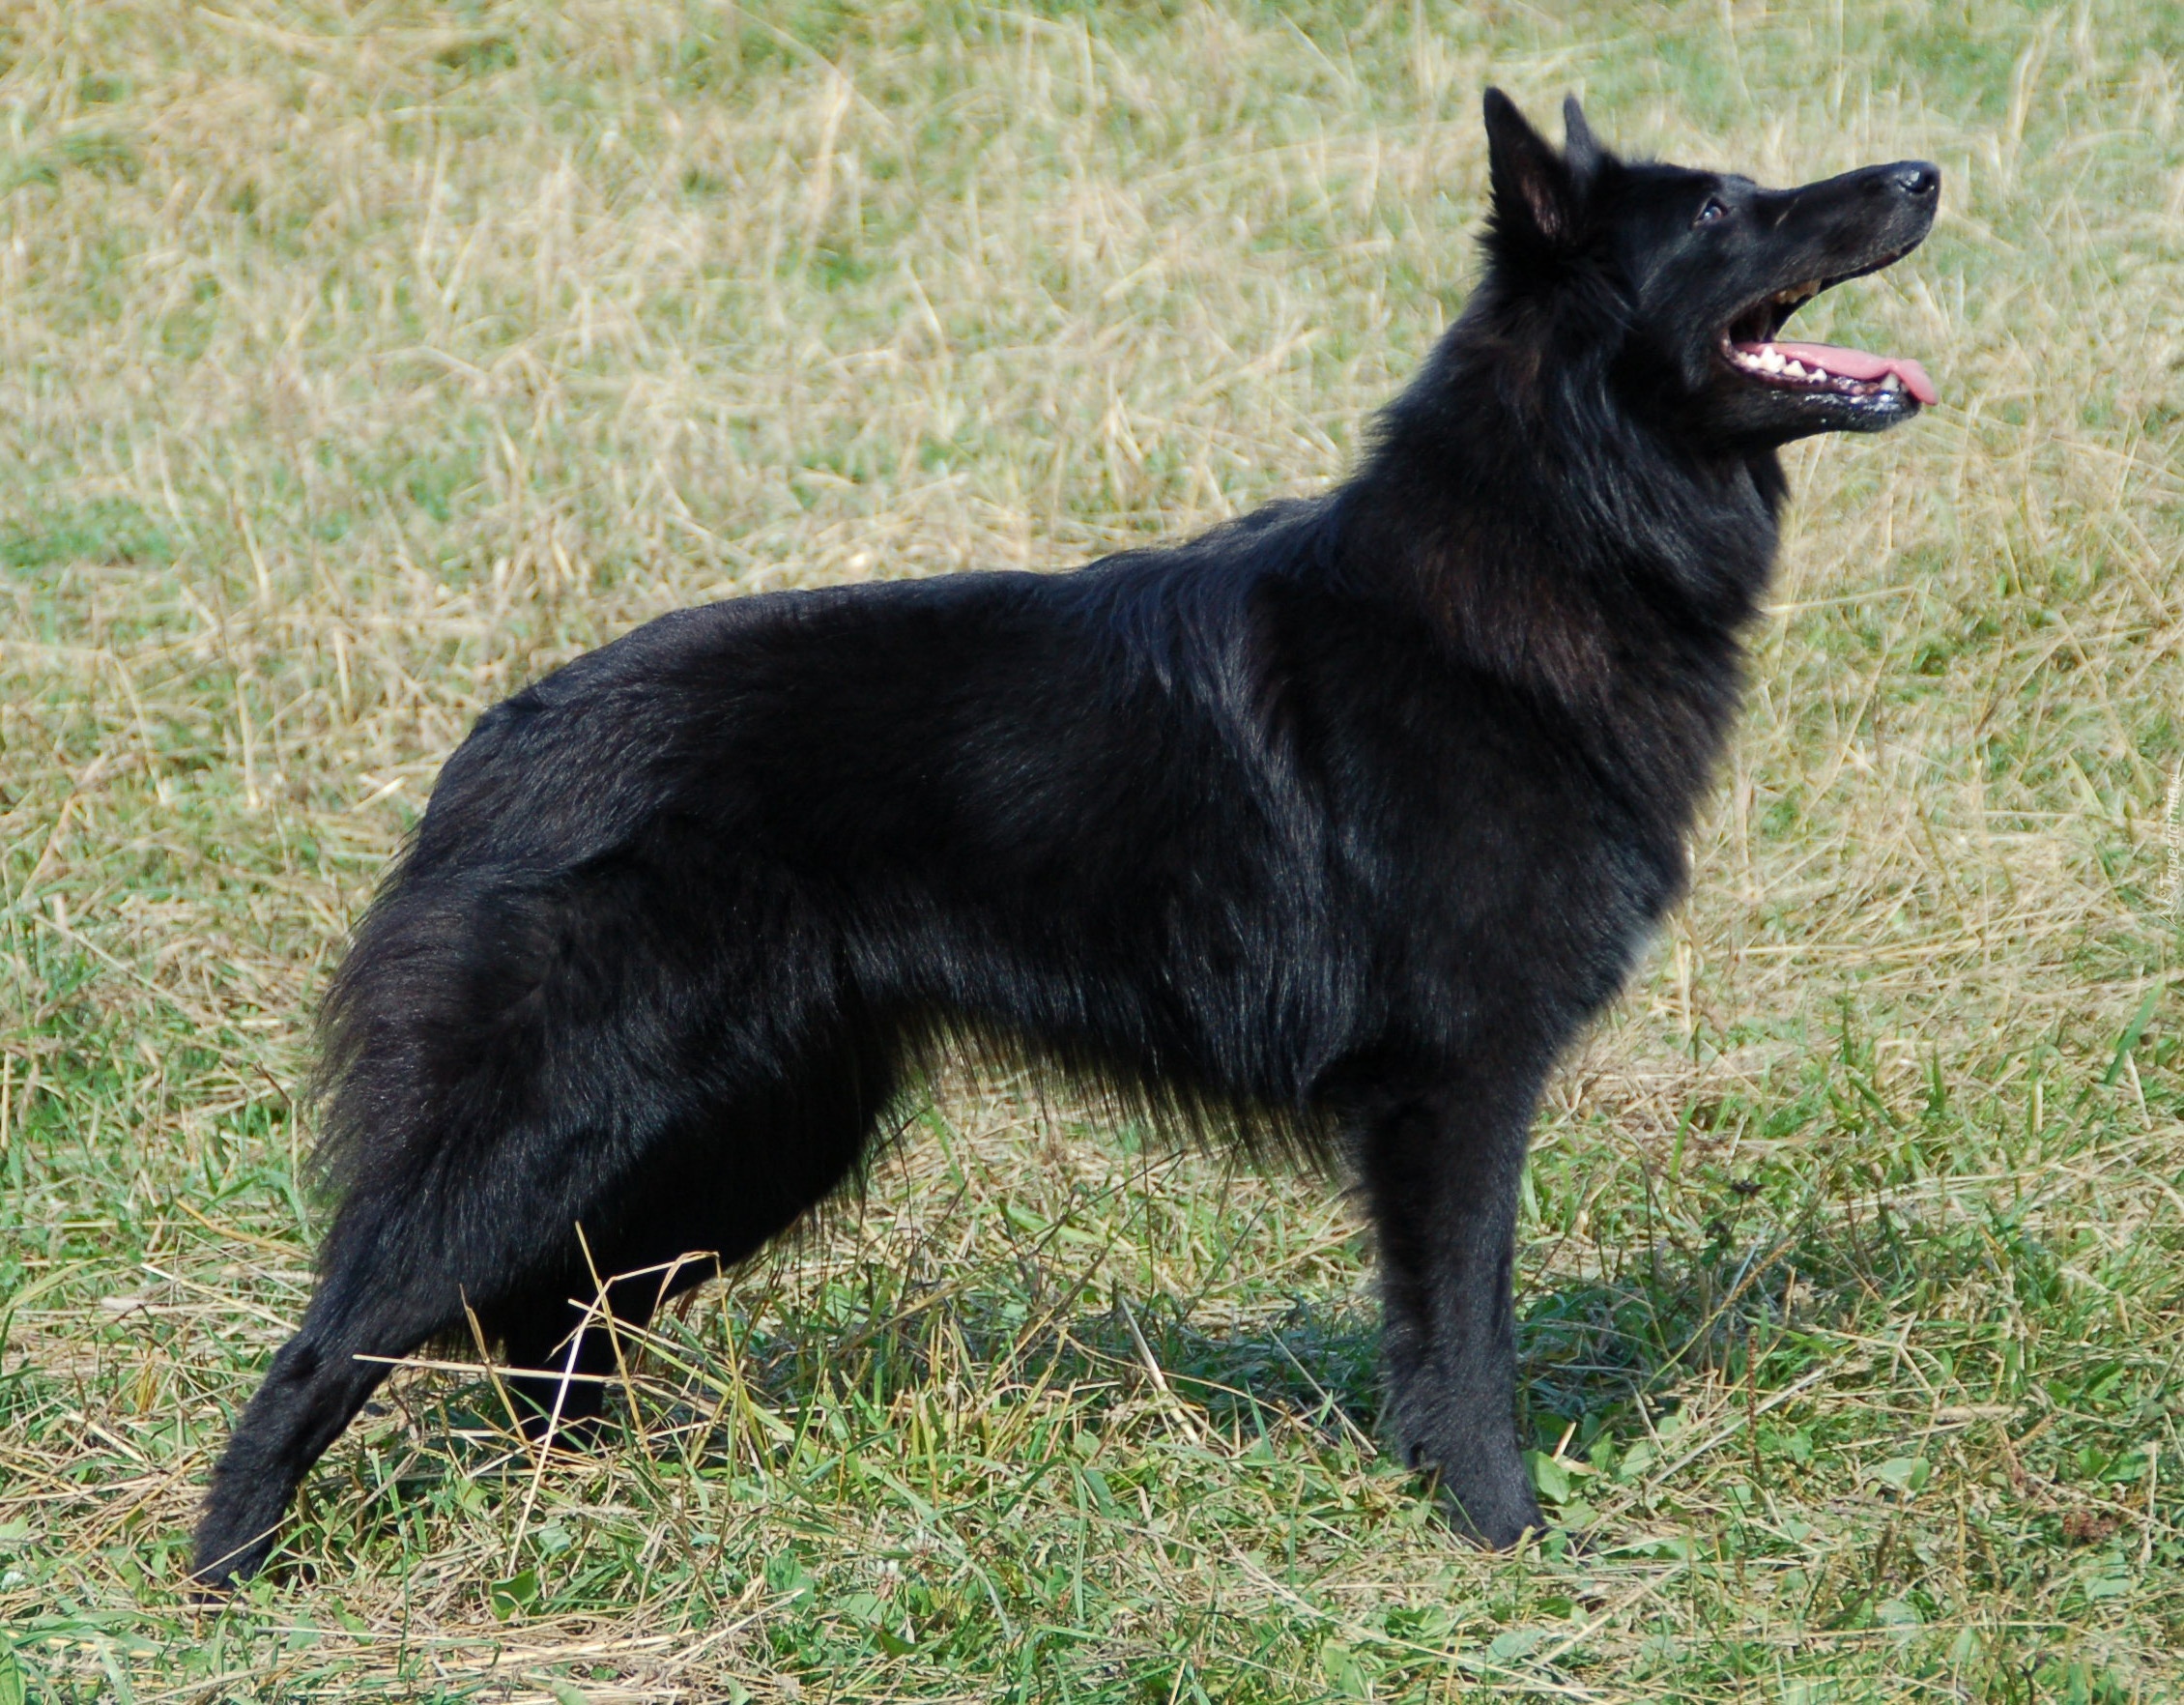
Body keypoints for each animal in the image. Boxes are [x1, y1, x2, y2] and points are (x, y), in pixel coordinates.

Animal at [183, 93, 1930, 1580]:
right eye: (1720, 209)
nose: (1921, 172)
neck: (1555, 531)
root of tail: (503, 737)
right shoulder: (1458, 1091)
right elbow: (1467, 1341)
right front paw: (1505, 1536)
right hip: (572, 1127)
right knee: (348, 1332)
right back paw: (230, 1570)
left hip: (760, 1132)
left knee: (558, 1322)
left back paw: (602, 1509)